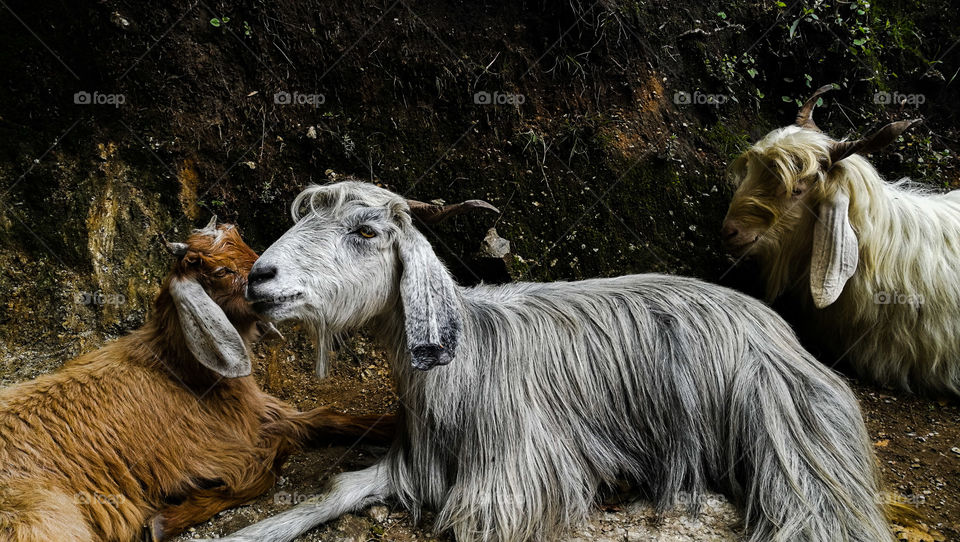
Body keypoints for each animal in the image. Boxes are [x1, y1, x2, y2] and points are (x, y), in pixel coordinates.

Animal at [0, 220, 394, 542]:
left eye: (243, 242)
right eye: (220, 270)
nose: (274, 281)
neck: (180, 371)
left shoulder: (265, 414)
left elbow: (327, 417)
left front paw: (389, 425)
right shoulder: (202, 456)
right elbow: (263, 471)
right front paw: (163, 522)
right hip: (44, 520)